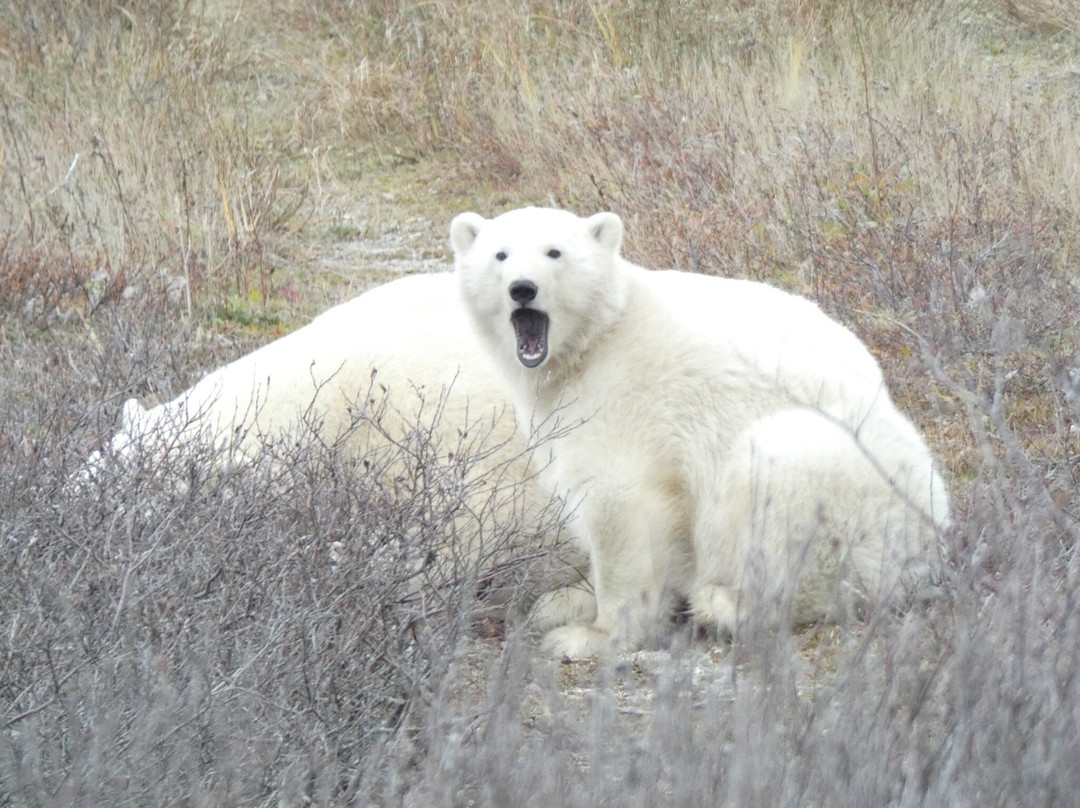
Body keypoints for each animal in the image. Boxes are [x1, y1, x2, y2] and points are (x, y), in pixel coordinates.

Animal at [451, 205, 950, 661]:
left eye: (554, 252)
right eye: (500, 254)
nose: (522, 289)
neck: (592, 345)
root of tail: (933, 534)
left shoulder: (626, 408)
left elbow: (621, 512)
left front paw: (589, 636)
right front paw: (562, 600)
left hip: (848, 494)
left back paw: (725, 604)